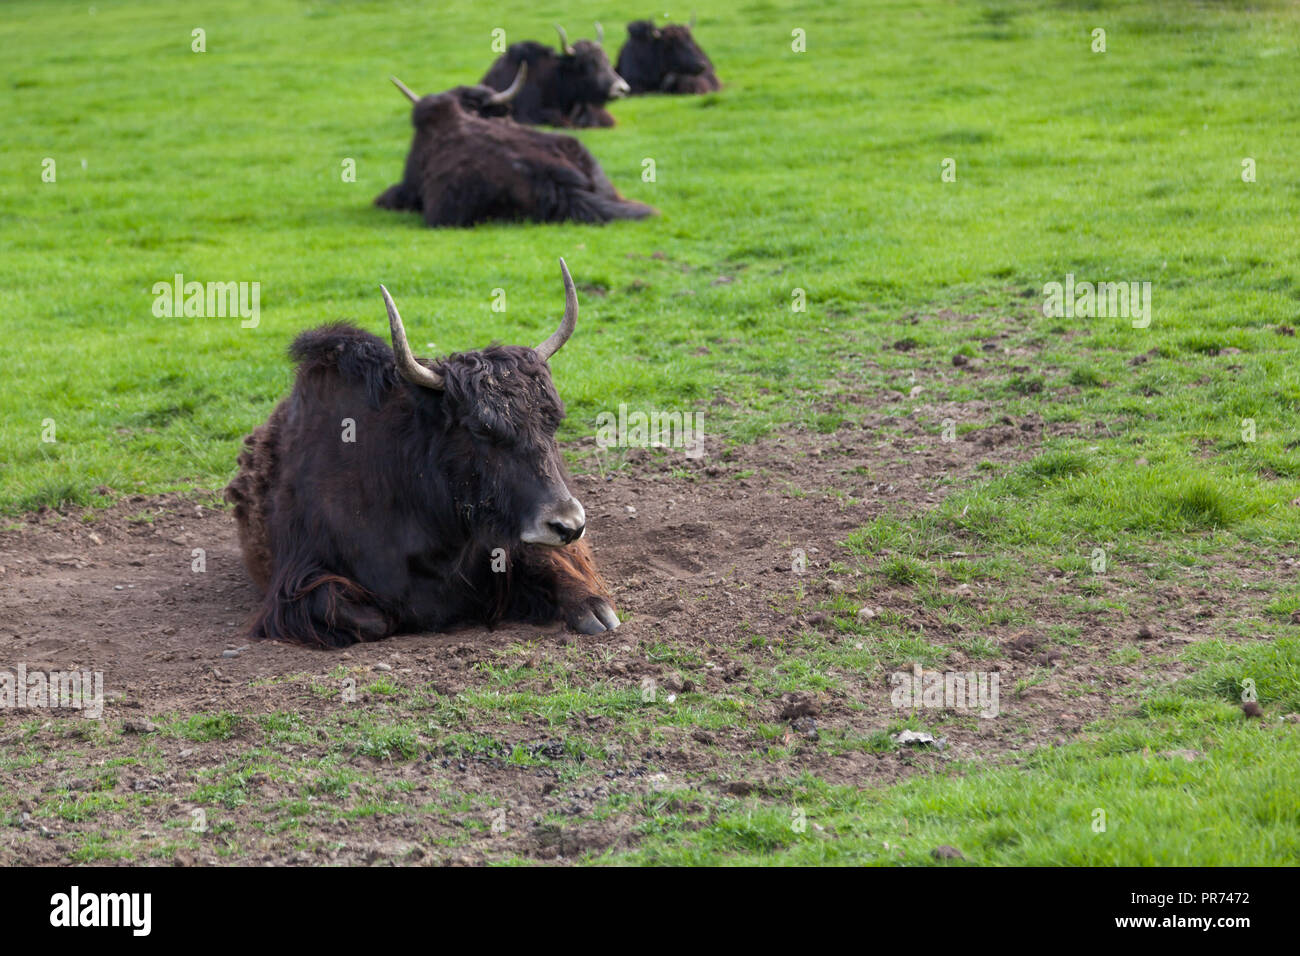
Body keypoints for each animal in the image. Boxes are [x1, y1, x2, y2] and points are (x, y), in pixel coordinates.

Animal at [225, 259, 621, 648]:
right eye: (480, 429)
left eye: (553, 421)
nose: (569, 525)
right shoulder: (300, 579)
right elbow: (372, 619)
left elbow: (571, 585)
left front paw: (592, 608)